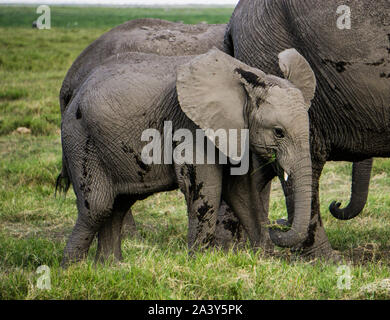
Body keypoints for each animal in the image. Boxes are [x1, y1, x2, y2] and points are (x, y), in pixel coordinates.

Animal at [61, 47, 316, 264]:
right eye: (279, 132)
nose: (279, 224)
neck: (247, 79)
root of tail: (75, 95)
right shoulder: (191, 125)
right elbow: (207, 189)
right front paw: (199, 263)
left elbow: (241, 191)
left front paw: (266, 259)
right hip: (80, 138)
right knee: (98, 207)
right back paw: (72, 270)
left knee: (119, 204)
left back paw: (111, 267)